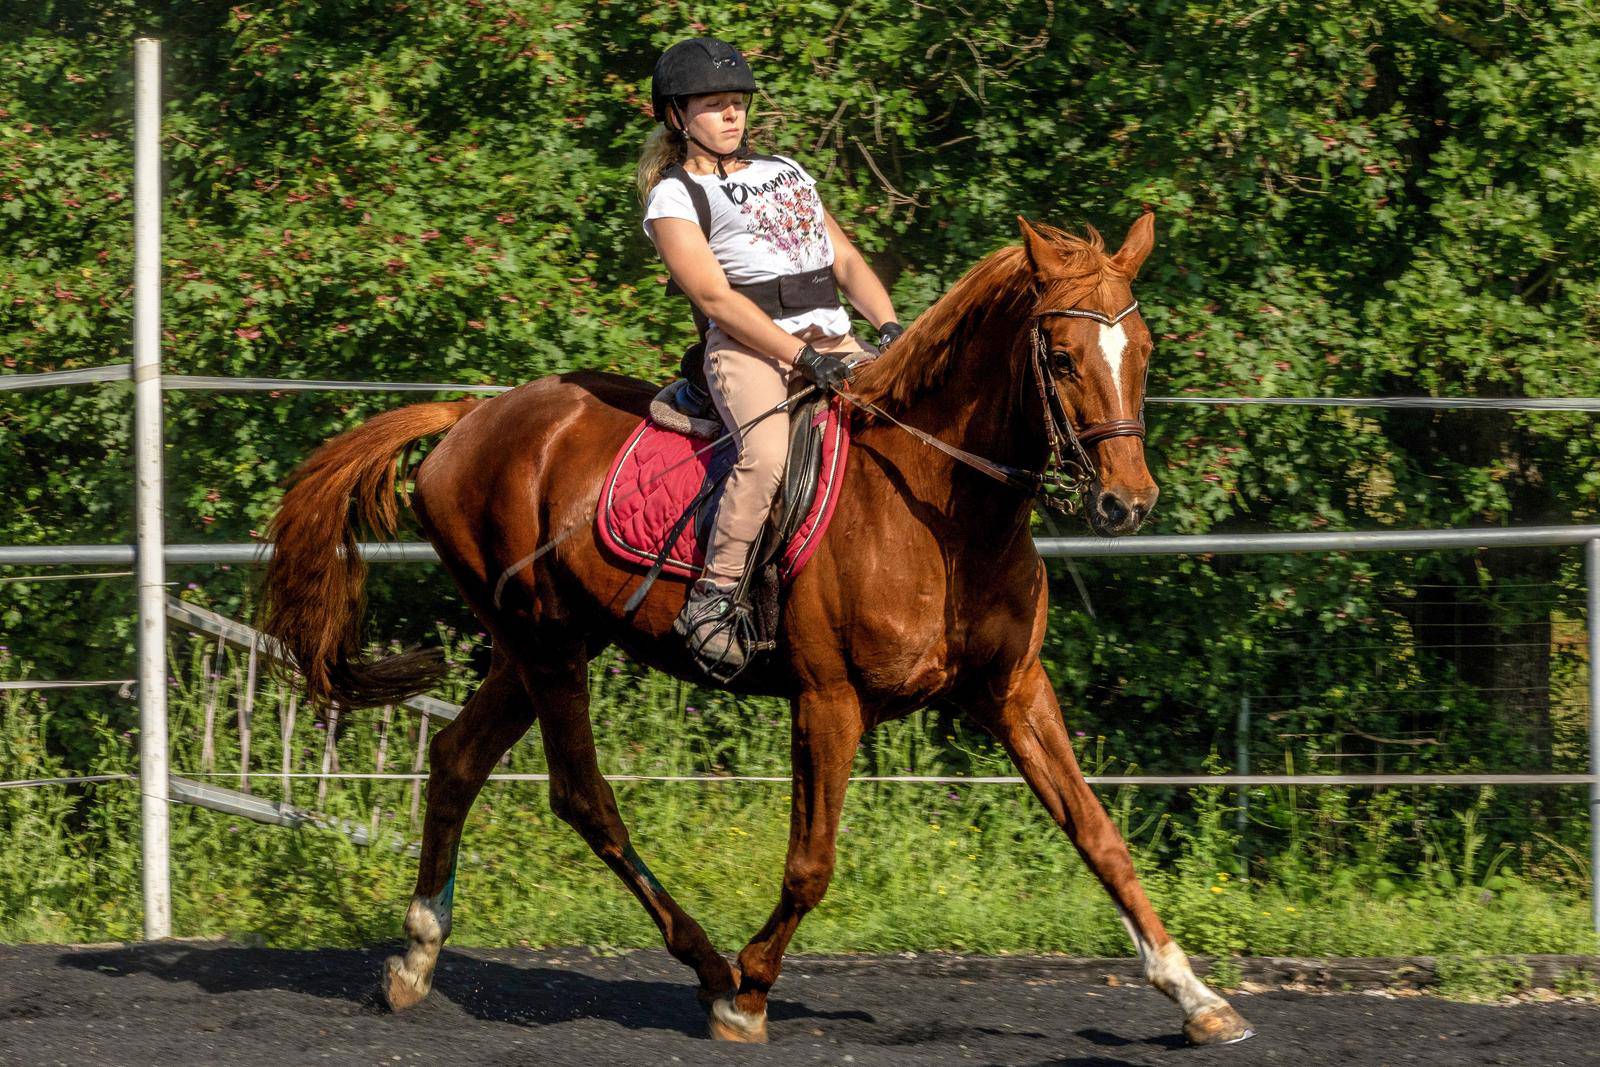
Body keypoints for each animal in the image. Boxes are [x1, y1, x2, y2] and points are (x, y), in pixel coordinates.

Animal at [262, 212, 1254, 1049]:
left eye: (1144, 349)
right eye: (1060, 352)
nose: (1127, 503)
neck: (941, 510)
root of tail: (468, 416)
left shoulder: (1013, 690)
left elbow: (1098, 833)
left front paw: (1197, 997)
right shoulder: (829, 700)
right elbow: (810, 863)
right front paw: (749, 994)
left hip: (537, 645)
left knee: (459, 758)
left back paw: (416, 955)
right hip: (546, 646)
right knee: (584, 797)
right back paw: (706, 968)